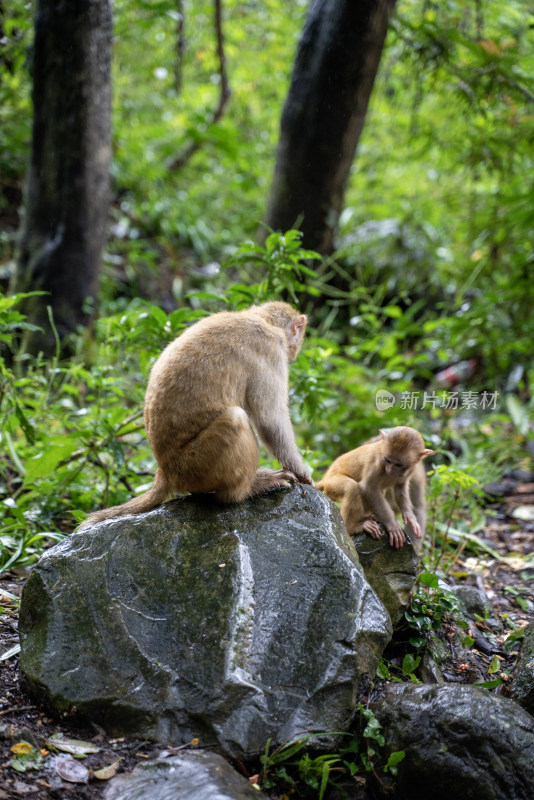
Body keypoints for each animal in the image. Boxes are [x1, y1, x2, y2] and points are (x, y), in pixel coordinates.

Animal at [81, 302, 312, 524]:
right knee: (235, 420)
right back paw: (247, 490)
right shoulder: (270, 349)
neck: (262, 320)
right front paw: (303, 473)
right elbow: (270, 420)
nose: (297, 350)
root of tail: (164, 473)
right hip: (194, 467)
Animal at [318, 424, 436, 552]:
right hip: (331, 483)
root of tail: (325, 478)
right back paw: (352, 527)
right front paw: (392, 525)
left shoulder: (411, 469)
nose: (390, 470)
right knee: (352, 487)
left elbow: (400, 488)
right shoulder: (376, 462)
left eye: (399, 464)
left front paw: (410, 517)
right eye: (388, 460)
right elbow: (368, 489)